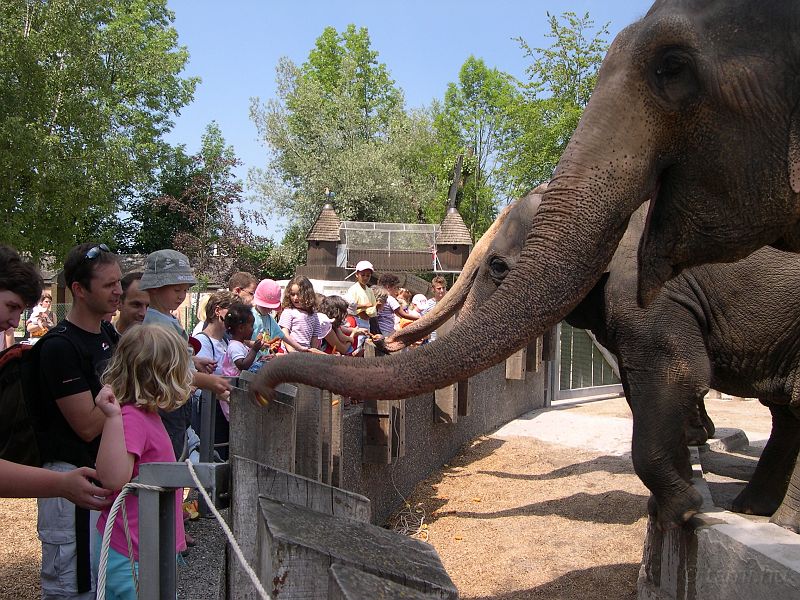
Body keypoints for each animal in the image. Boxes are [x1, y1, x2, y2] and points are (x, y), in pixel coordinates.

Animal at [386, 187, 800, 530]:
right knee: (786, 413)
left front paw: (680, 511)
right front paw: (678, 498)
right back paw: (751, 509)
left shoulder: (653, 294)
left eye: (498, 266)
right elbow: (639, 384)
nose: (390, 341)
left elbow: (674, 374)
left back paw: (776, 521)